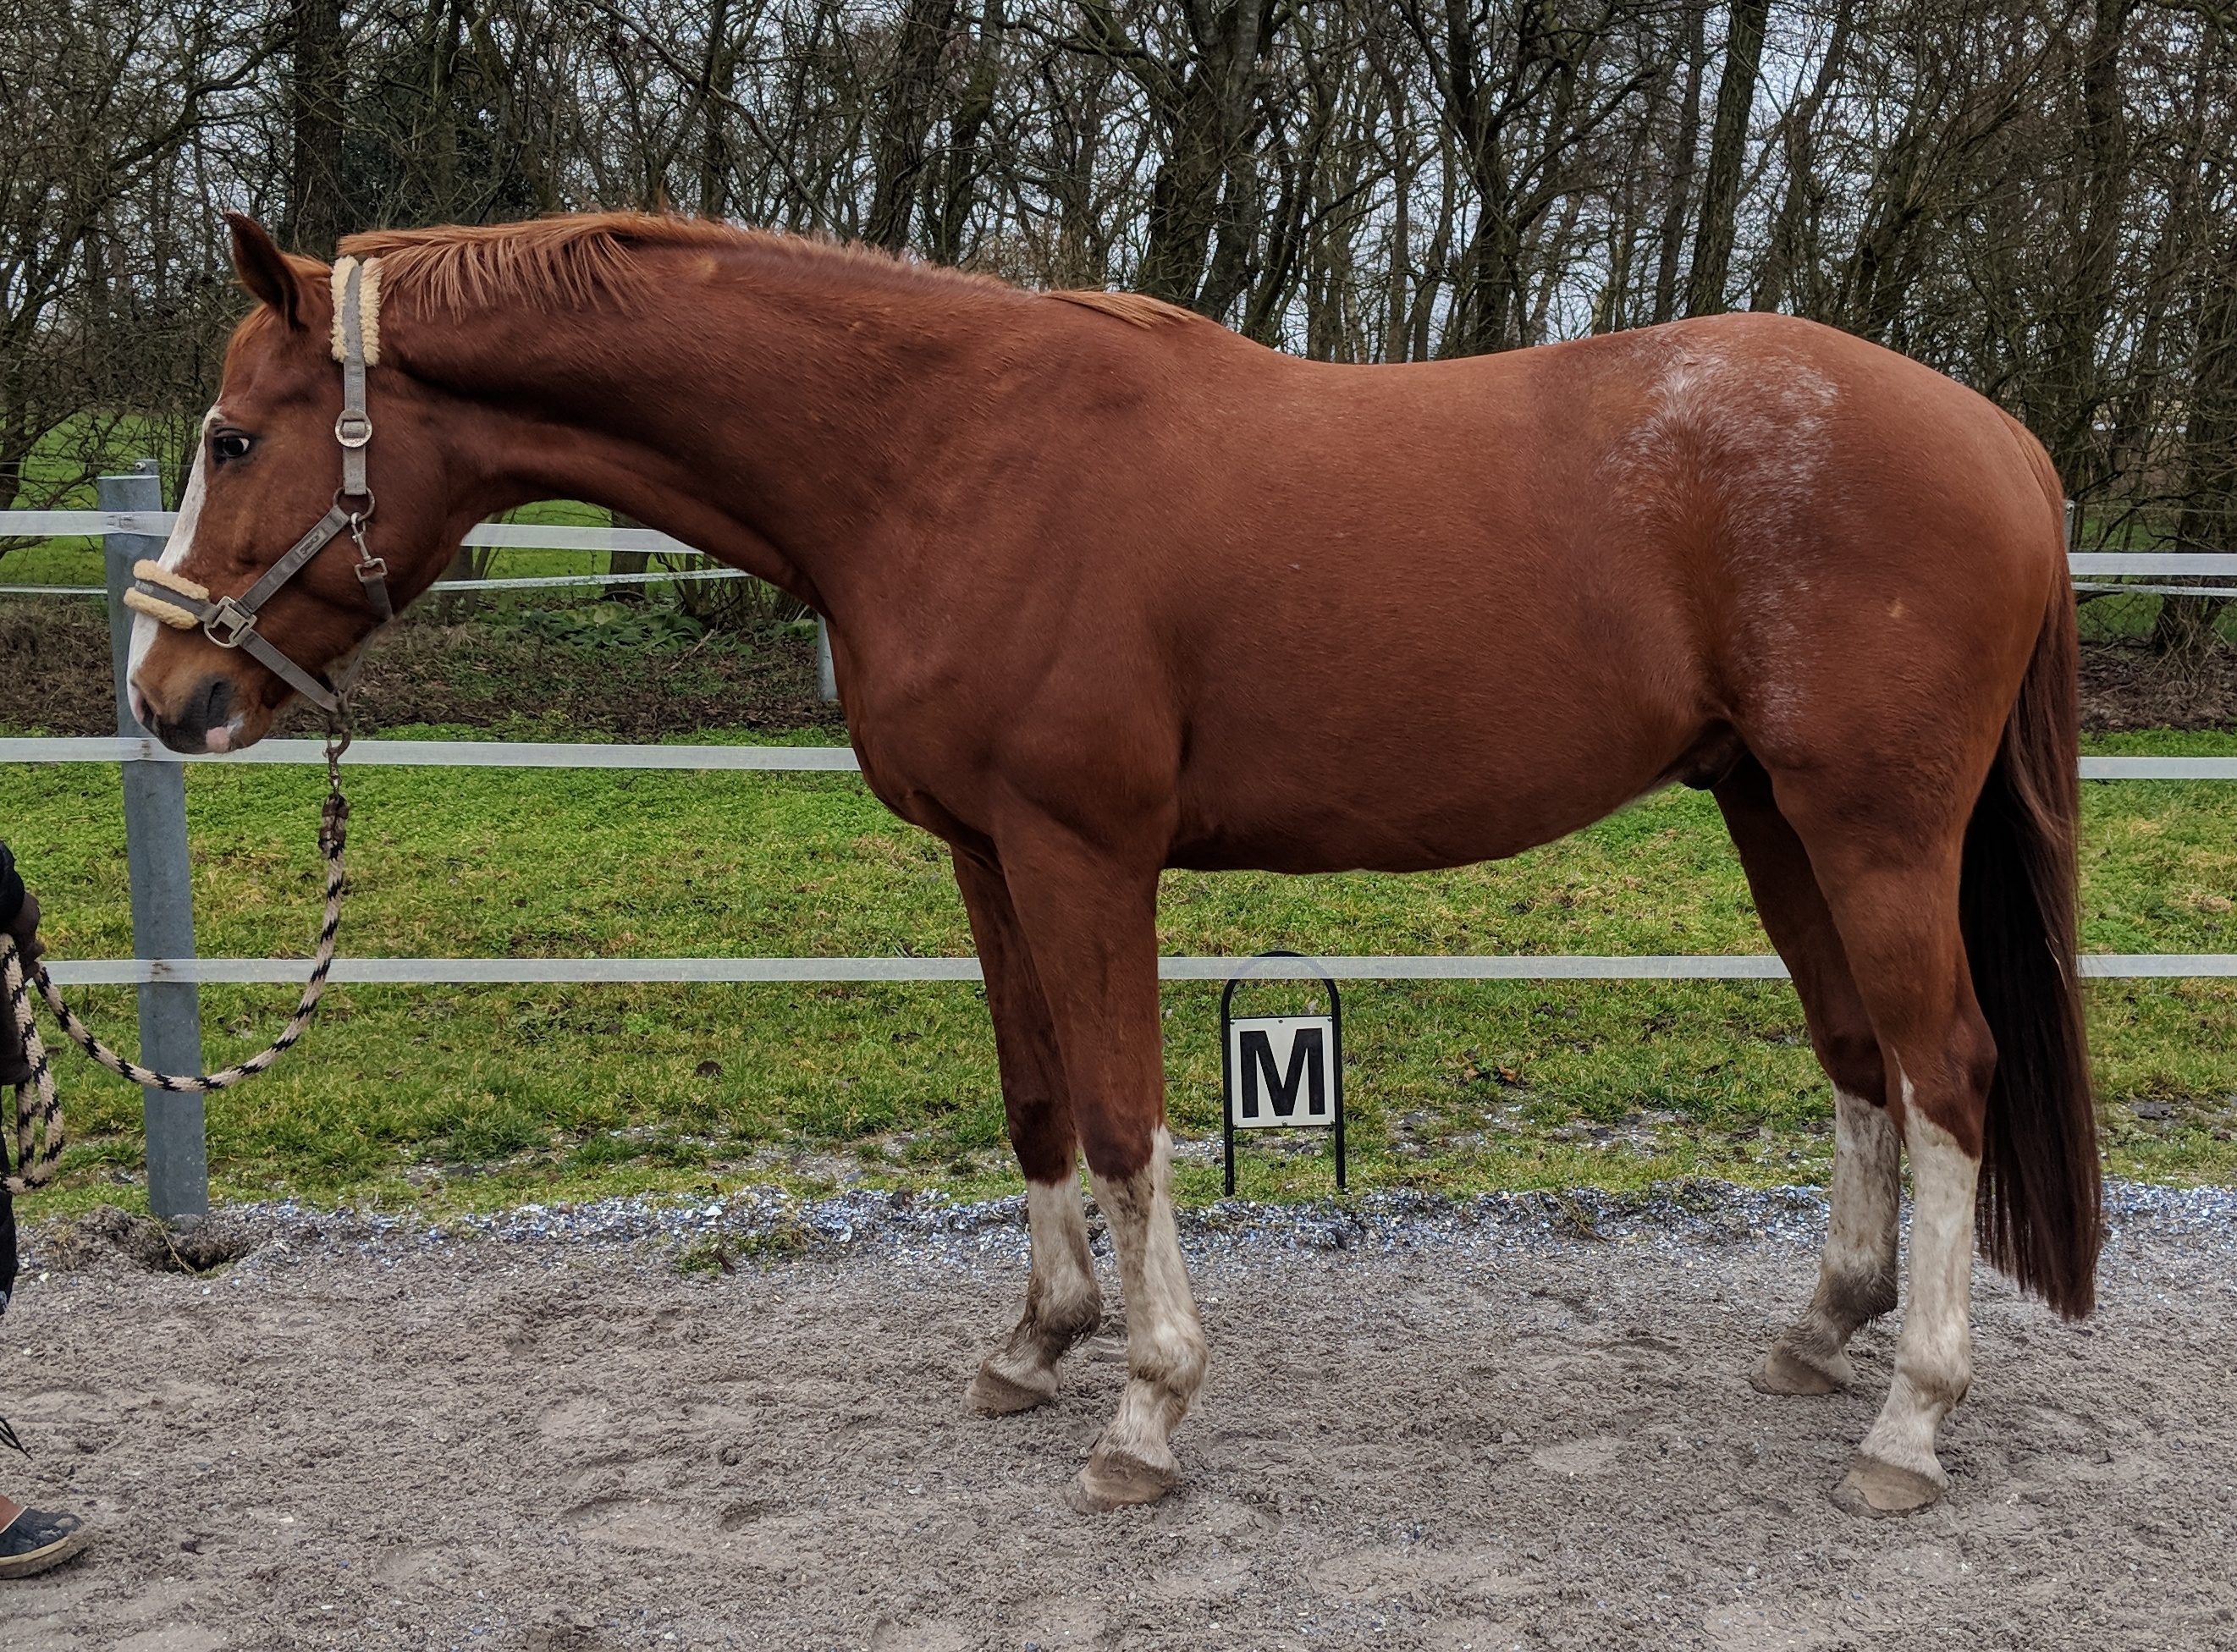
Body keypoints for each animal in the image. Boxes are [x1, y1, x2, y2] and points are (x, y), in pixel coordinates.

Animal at [128, 212, 2100, 1518]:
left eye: (233, 435)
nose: (166, 695)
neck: (940, 459)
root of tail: (2002, 439)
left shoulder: (1087, 857)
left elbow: (1128, 1115)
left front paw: (1144, 1410)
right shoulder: (987, 860)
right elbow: (1031, 1106)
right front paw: (1036, 1342)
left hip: (1869, 824)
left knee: (1942, 1071)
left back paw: (1908, 1421)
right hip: (1770, 811)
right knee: (1857, 1064)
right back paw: (1822, 1332)